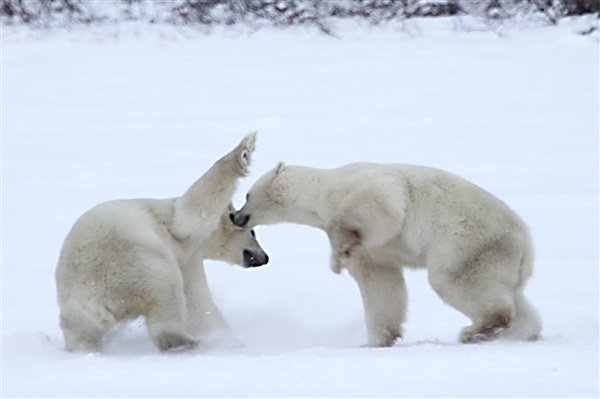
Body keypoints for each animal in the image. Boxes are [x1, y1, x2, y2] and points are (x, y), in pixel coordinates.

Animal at [55, 134, 268, 354]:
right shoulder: (179, 232)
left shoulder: (187, 258)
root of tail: (94, 301)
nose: (264, 257)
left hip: (77, 313)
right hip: (141, 267)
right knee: (166, 302)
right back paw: (195, 343)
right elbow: (192, 210)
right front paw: (245, 148)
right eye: (253, 232)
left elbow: (196, 300)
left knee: (82, 335)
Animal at [232, 162, 540, 346]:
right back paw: (525, 332)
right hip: (499, 258)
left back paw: (475, 331)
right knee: (515, 298)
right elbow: (381, 284)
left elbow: (380, 203)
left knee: (454, 279)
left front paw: (337, 256)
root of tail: (526, 243)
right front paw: (376, 341)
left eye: (246, 195)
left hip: (467, 242)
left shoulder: (362, 184)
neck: (319, 195)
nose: (234, 216)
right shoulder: (372, 253)